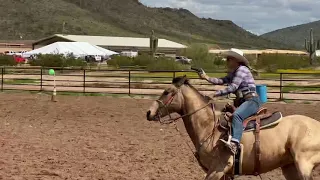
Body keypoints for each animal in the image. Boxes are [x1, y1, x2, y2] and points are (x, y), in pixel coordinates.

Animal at [146, 75, 320, 179]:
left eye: (167, 92)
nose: (149, 112)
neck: (210, 127)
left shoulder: (217, 169)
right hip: (289, 167)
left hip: (303, 164)